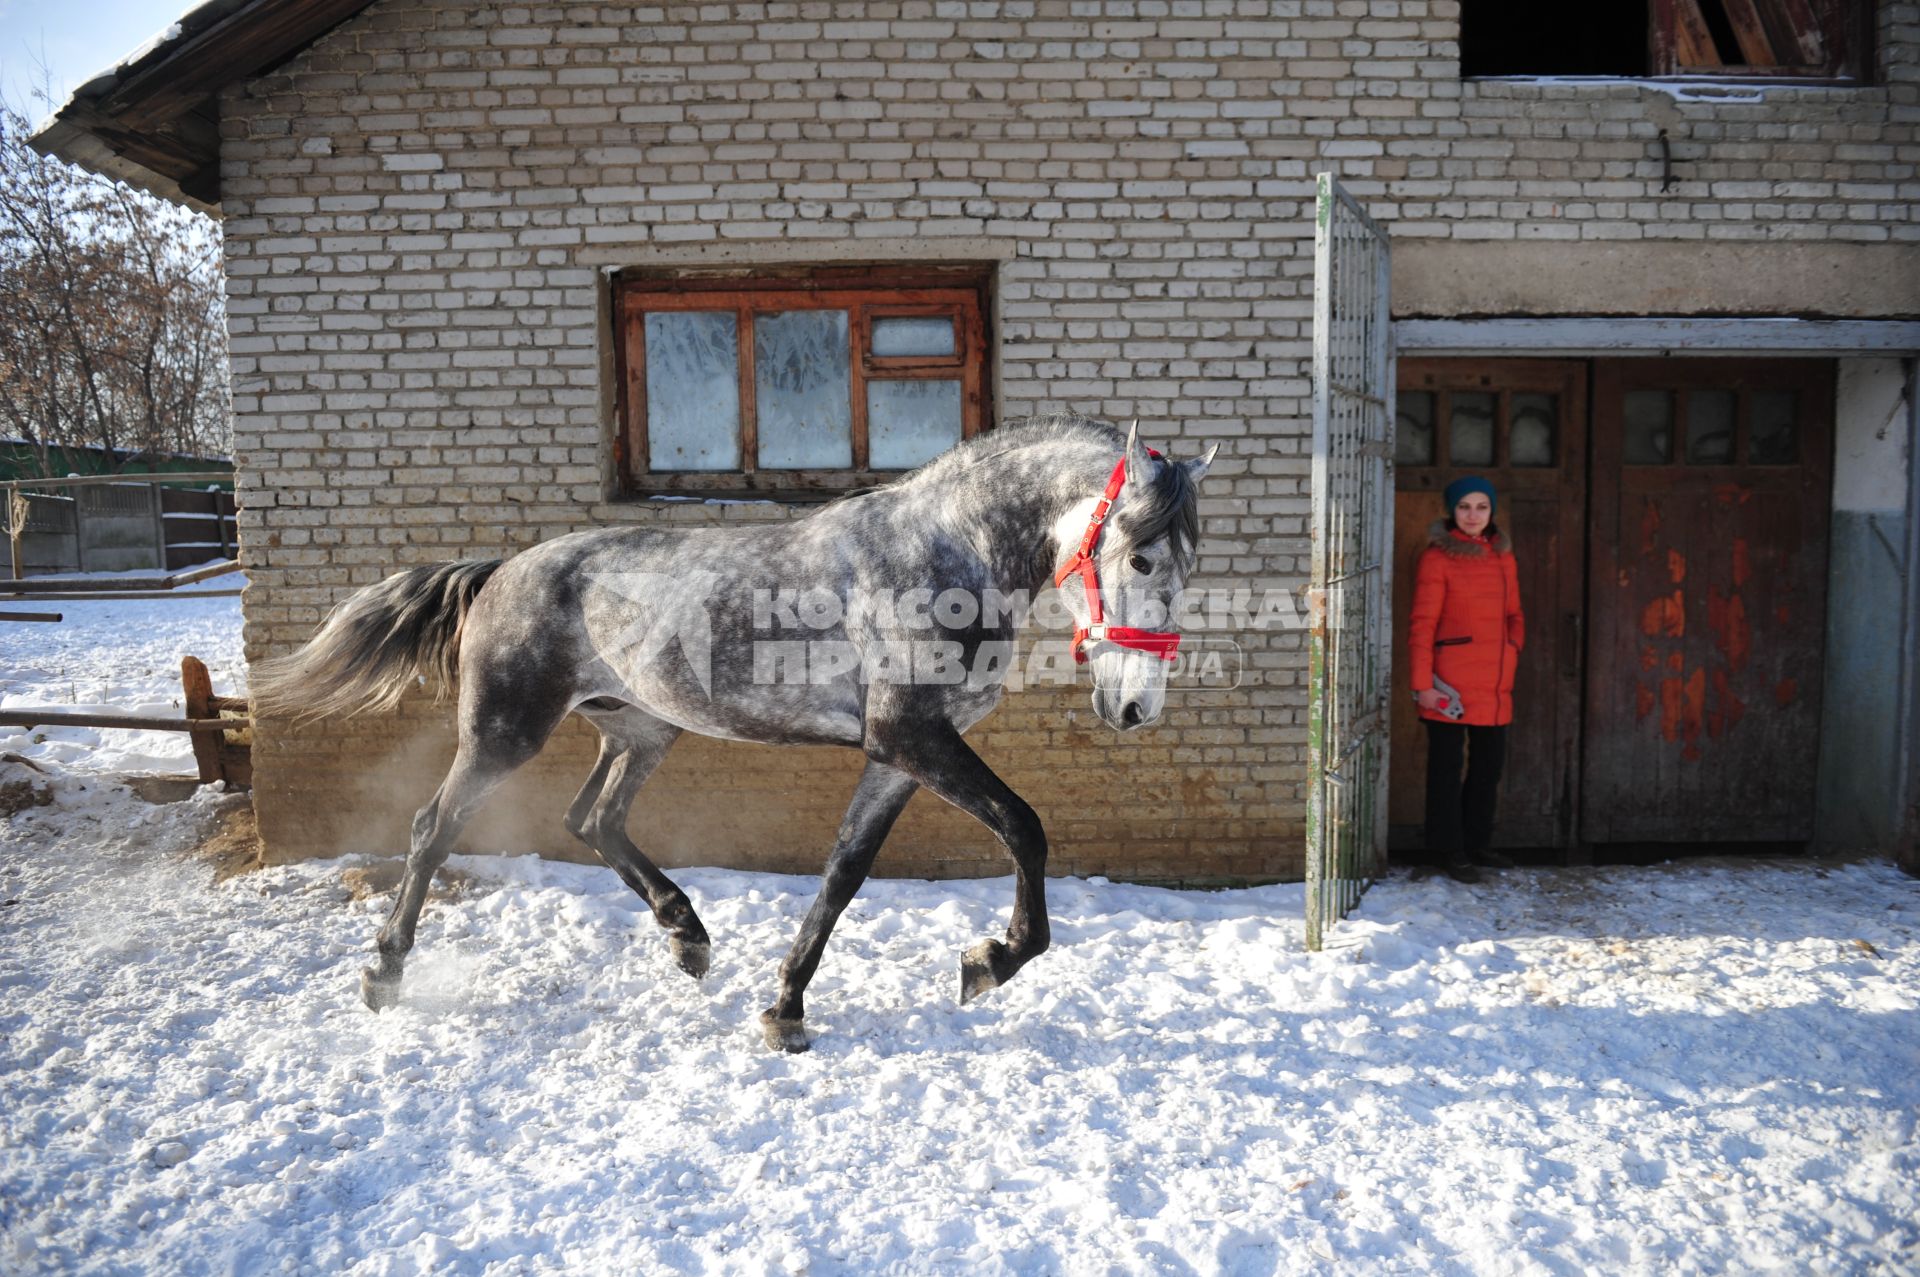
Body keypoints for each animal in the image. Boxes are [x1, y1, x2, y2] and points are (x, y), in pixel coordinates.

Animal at [251, 412, 1213, 1052]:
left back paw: (689, 934)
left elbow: (843, 871)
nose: (1136, 707)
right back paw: (384, 972)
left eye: (1189, 564)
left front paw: (785, 1007)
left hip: (641, 730)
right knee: (433, 828)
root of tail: (501, 570)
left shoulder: (899, 757)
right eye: (1139, 555)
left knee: (593, 818)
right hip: (503, 731)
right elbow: (1025, 825)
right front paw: (993, 957)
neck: (947, 550)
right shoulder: (913, 739)